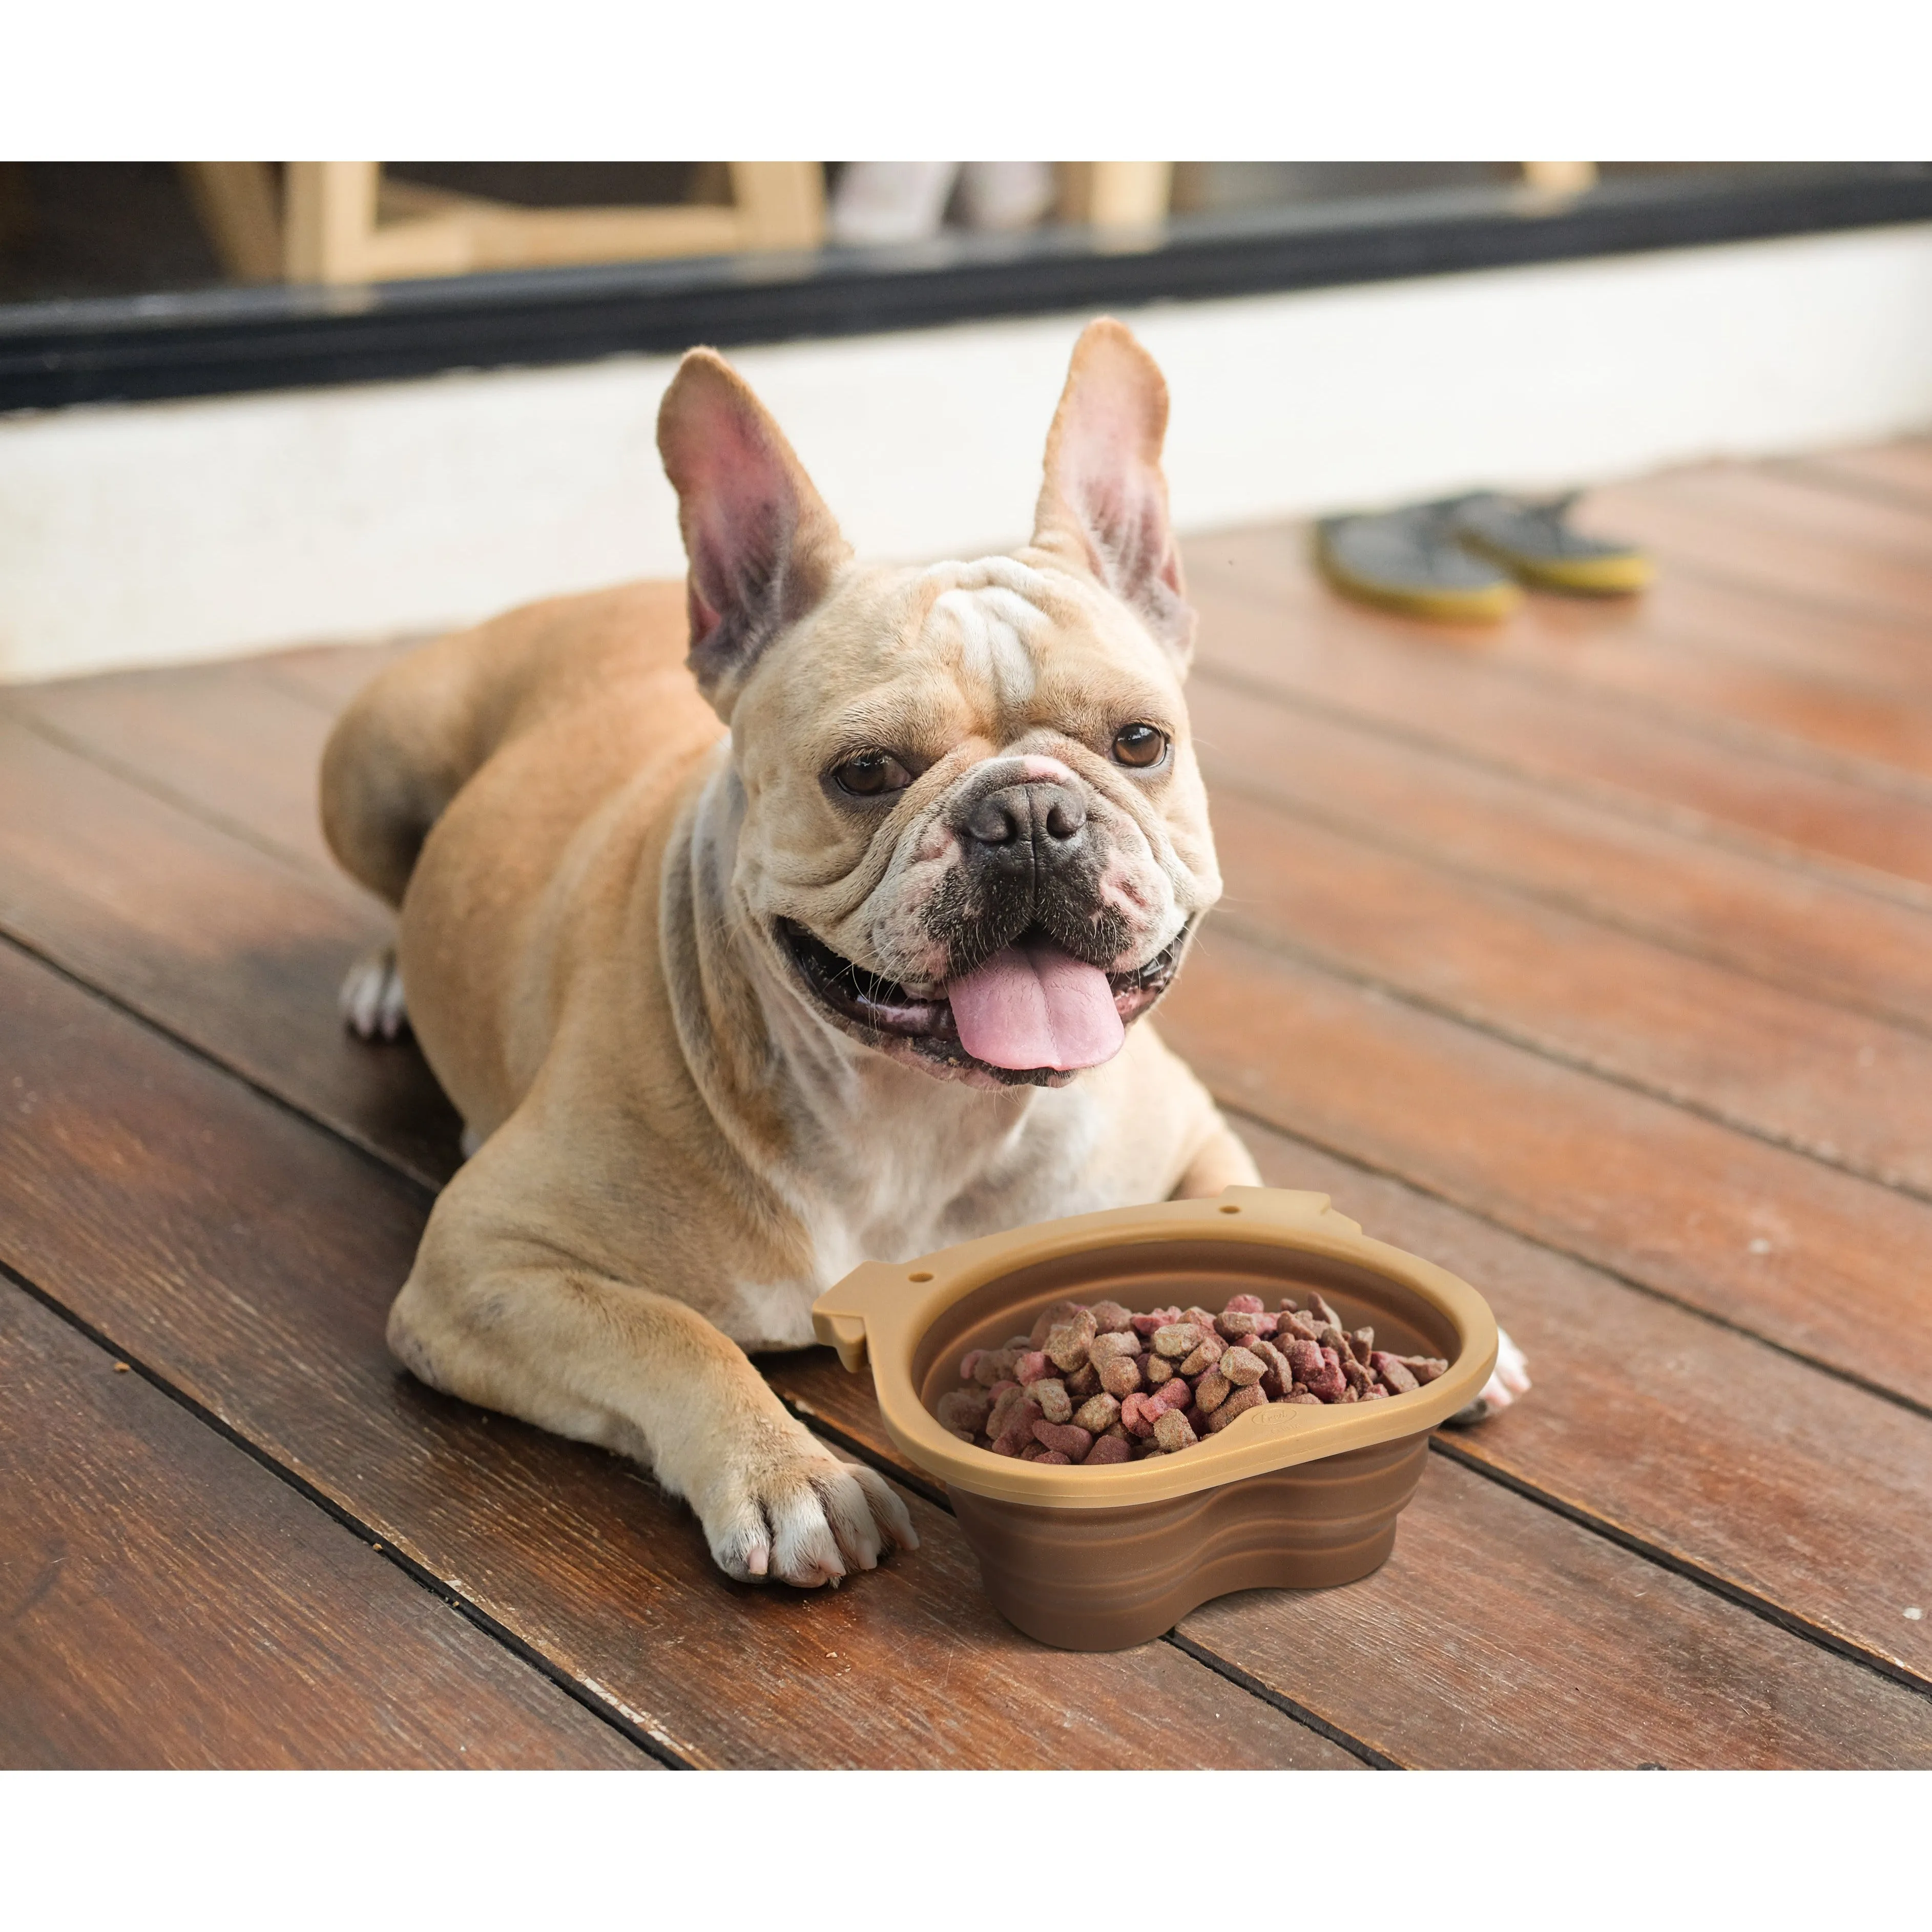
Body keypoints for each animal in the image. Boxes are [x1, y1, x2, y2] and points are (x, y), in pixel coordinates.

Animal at [320, 317, 1267, 1584]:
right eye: (863, 772)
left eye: (1139, 742)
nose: (1027, 814)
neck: (922, 1120)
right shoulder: (482, 1262)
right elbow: (671, 1332)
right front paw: (791, 1475)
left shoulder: (1186, 1133)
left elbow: (1254, 1210)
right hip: (371, 760)